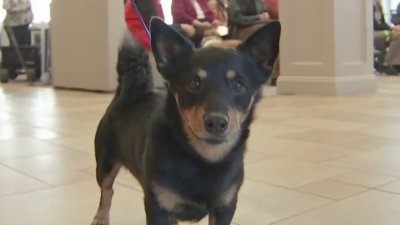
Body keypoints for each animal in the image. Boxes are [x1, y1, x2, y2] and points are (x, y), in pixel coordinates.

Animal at [91, 18, 280, 225]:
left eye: (239, 85)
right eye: (194, 83)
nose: (216, 122)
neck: (202, 158)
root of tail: (128, 93)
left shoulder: (225, 207)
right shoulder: (158, 207)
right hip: (105, 164)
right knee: (107, 190)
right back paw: (100, 217)